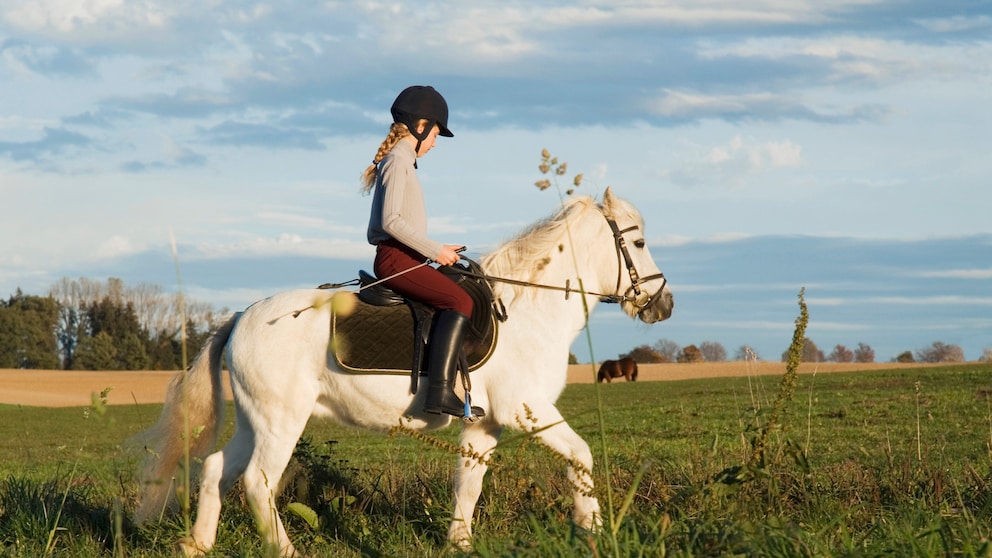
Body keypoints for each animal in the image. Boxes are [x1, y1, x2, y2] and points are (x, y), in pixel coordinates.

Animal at [134, 190, 676, 556]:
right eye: (639, 241)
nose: (664, 303)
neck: (527, 309)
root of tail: (242, 315)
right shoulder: (529, 411)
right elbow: (581, 457)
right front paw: (595, 530)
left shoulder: (485, 424)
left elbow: (467, 486)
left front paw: (459, 545)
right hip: (280, 422)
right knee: (257, 481)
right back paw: (283, 550)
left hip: (255, 421)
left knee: (215, 469)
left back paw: (197, 544)